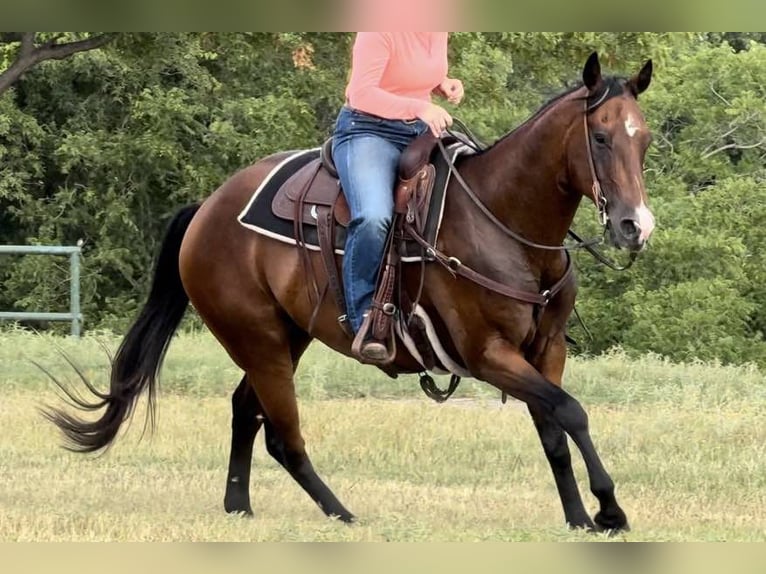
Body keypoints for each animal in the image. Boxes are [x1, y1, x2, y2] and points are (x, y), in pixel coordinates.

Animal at [45, 52, 655, 533]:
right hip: (258, 339)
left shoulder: (544, 350)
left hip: (285, 336)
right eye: (600, 137)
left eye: (644, 140)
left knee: (247, 412)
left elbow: (554, 428)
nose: (635, 226)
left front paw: (579, 517)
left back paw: (240, 506)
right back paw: (341, 513)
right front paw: (610, 510)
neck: (503, 222)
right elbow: (571, 412)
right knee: (283, 435)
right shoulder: (488, 354)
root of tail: (207, 209)